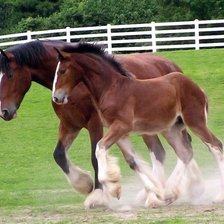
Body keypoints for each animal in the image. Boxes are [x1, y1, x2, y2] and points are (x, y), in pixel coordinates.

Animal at [0, 40, 200, 208]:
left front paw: (98, 194)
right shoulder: (70, 125)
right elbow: (59, 155)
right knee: (172, 149)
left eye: (9, 75)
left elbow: (94, 157)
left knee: (170, 150)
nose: (4, 112)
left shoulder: (94, 123)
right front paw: (84, 183)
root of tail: (172, 66)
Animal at [52, 43, 224, 205]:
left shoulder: (121, 127)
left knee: (216, 146)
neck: (112, 88)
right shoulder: (120, 134)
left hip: (195, 122)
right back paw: (169, 192)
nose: (56, 97)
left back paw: (217, 196)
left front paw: (113, 188)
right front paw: (154, 192)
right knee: (185, 153)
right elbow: (133, 162)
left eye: (62, 71)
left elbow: (99, 148)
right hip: (172, 129)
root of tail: (198, 88)